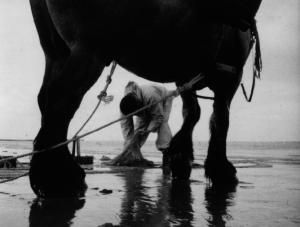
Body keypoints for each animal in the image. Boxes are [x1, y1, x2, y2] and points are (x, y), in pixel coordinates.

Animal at [29, 0, 262, 197]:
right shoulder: (230, 76)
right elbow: (221, 119)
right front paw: (220, 169)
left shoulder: (186, 76)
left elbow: (192, 113)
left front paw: (181, 157)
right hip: (90, 49)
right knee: (62, 98)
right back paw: (61, 176)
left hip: (56, 51)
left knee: (45, 99)